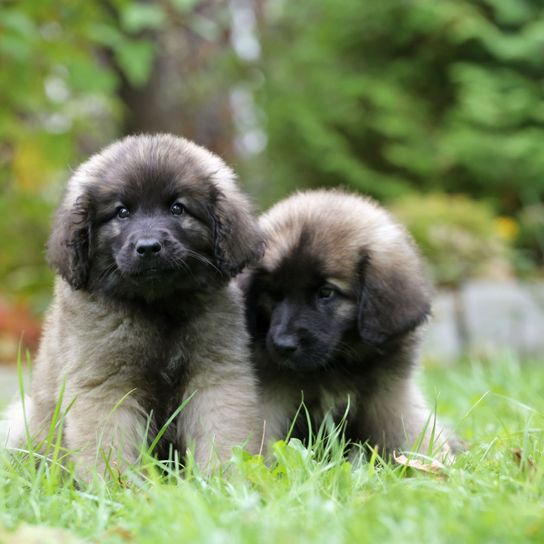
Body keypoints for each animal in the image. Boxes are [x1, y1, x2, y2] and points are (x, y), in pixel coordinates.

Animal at [4, 134, 264, 478]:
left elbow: (222, 436)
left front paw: (223, 480)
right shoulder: (106, 386)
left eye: (178, 208)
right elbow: (109, 450)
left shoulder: (216, 377)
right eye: (122, 212)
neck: (159, 306)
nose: (149, 248)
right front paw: (116, 487)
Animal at [240, 189, 456, 456]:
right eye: (273, 293)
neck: (336, 364)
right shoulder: (271, 395)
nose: (282, 345)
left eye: (326, 292)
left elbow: (412, 434)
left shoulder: (390, 395)